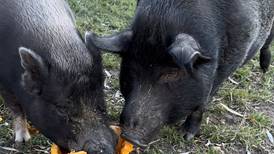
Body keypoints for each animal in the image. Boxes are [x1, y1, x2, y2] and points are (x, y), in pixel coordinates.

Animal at [0, 0, 116, 153]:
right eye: (61, 108)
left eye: (100, 99)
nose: (105, 148)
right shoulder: (4, 83)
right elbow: (16, 108)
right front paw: (22, 141)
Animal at [85, 0, 274, 149]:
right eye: (131, 71)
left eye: (172, 73)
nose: (129, 136)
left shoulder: (226, 66)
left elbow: (204, 100)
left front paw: (185, 136)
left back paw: (264, 69)